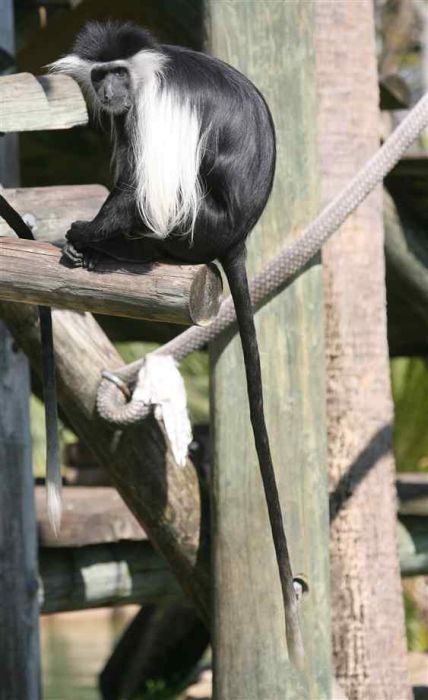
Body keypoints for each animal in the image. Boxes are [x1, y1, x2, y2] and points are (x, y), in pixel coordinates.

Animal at [51, 21, 304, 668]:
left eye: (118, 72)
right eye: (100, 74)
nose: (110, 90)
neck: (143, 71)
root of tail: (237, 237)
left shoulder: (155, 105)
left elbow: (143, 191)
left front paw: (82, 232)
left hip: (196, 229)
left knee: (156, 204)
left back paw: (105, 250)